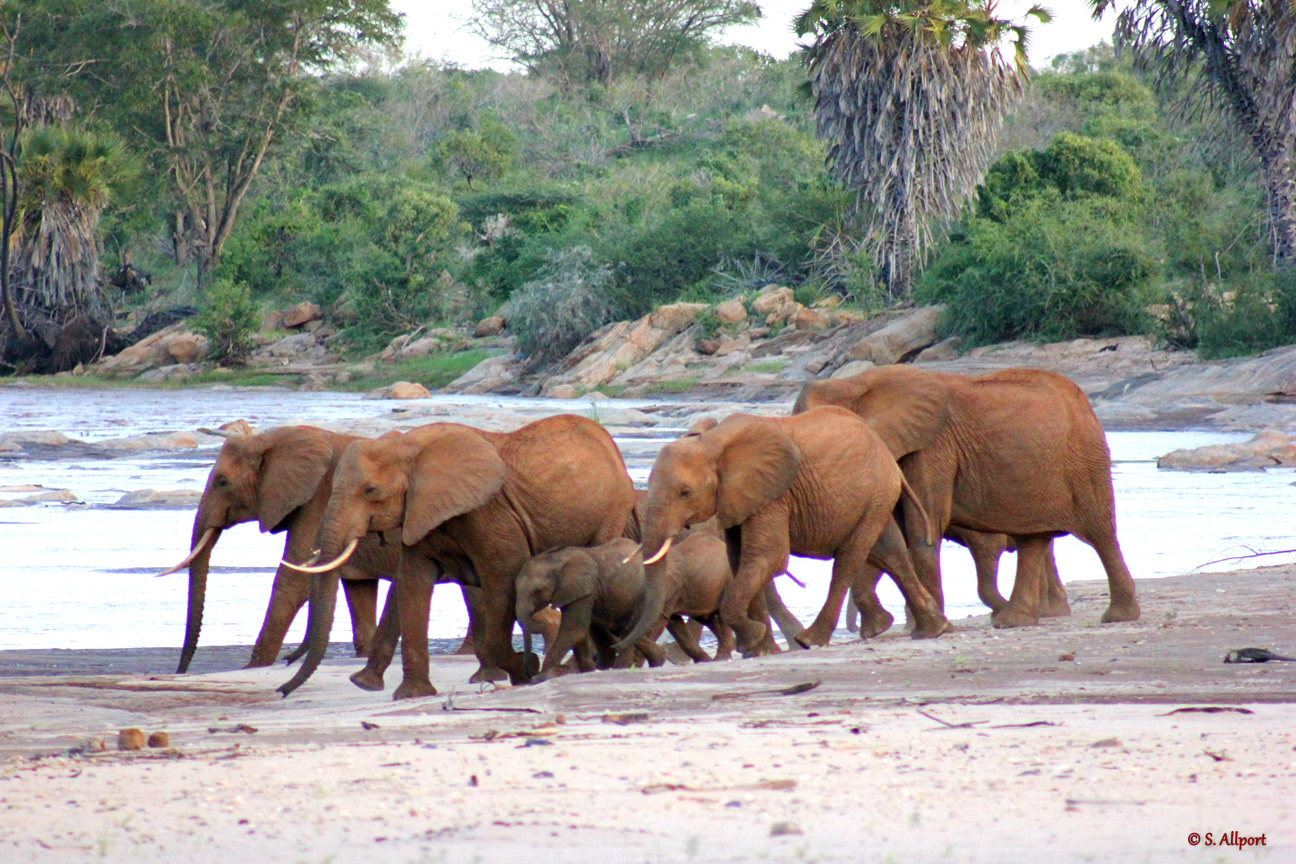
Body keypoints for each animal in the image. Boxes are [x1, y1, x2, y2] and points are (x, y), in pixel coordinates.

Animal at [280, 414, 636, 699]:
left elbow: (503, 579)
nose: (282, 690)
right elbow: (412, 584)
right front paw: (408, 695)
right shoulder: (420, 511)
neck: (409, 447)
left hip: (610, 512)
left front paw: (526, 672)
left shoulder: (490, 513)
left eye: (371, 491)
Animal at [515, 538, 668, 681]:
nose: (532, 672)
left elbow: (574, 631)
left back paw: (620, 668)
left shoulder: (583, 590)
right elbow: (579, 632)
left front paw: (541, 678)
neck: (556, 559)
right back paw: (658, 660)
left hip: (641, 594)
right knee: (622, 630)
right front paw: (587, 671)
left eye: (538, 591)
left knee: (627, 629)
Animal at [617, 406, 950, 658]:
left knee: (850, 558)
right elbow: (741, 560)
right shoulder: (741, 499)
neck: (711, 442)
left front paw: (754, 639)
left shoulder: (773, 495)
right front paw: (759, 649)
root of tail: (887, 453)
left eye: (685, 493)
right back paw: (927, 630)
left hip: (875, 492)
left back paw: (811, 641)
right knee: (888, 552)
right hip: (874, 497)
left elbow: (768, 558)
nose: (617, 644)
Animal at [794, 366, 1139, 629]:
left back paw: (1118, 617)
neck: (854, 383)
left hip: (1084, 458)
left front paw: (925, 630)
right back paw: (1014, 620)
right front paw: (886, 629)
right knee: (1033, 539)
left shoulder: (933, 446)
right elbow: (890, 533)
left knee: (1100, 533)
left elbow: (921, 532)